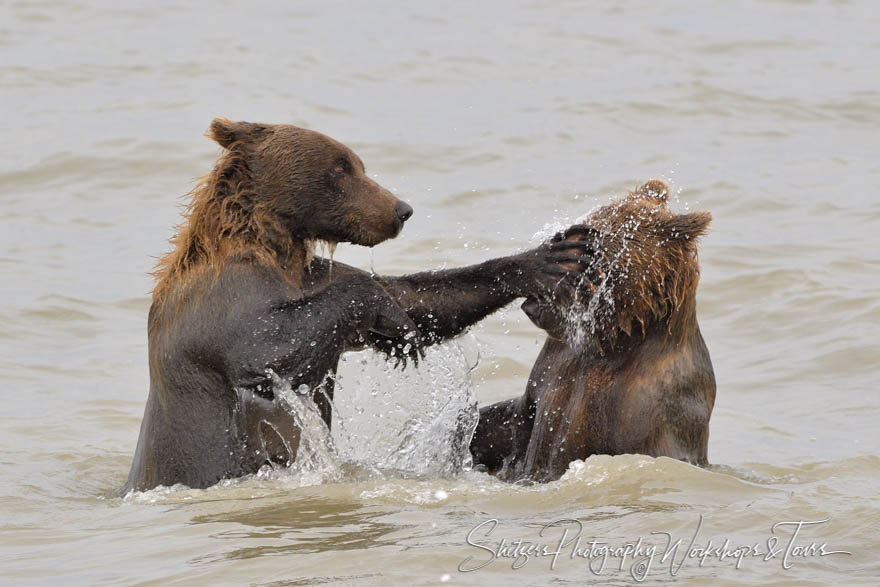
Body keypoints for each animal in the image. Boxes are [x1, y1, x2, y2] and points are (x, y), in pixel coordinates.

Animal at [120, 121, 596, 494]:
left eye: (357, 163)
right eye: (341, 166)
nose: (401, 209)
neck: (273, 246)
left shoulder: (311, 275)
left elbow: (419, 297)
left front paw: (550, 257)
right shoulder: (224, 301)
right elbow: (269, 345)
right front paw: (395, 322)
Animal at [468, 179, 716, 482]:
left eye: (591, 246)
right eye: (577, 229)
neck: (613, 340)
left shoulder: (650, 407)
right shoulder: (551, 370)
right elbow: (508, 421)